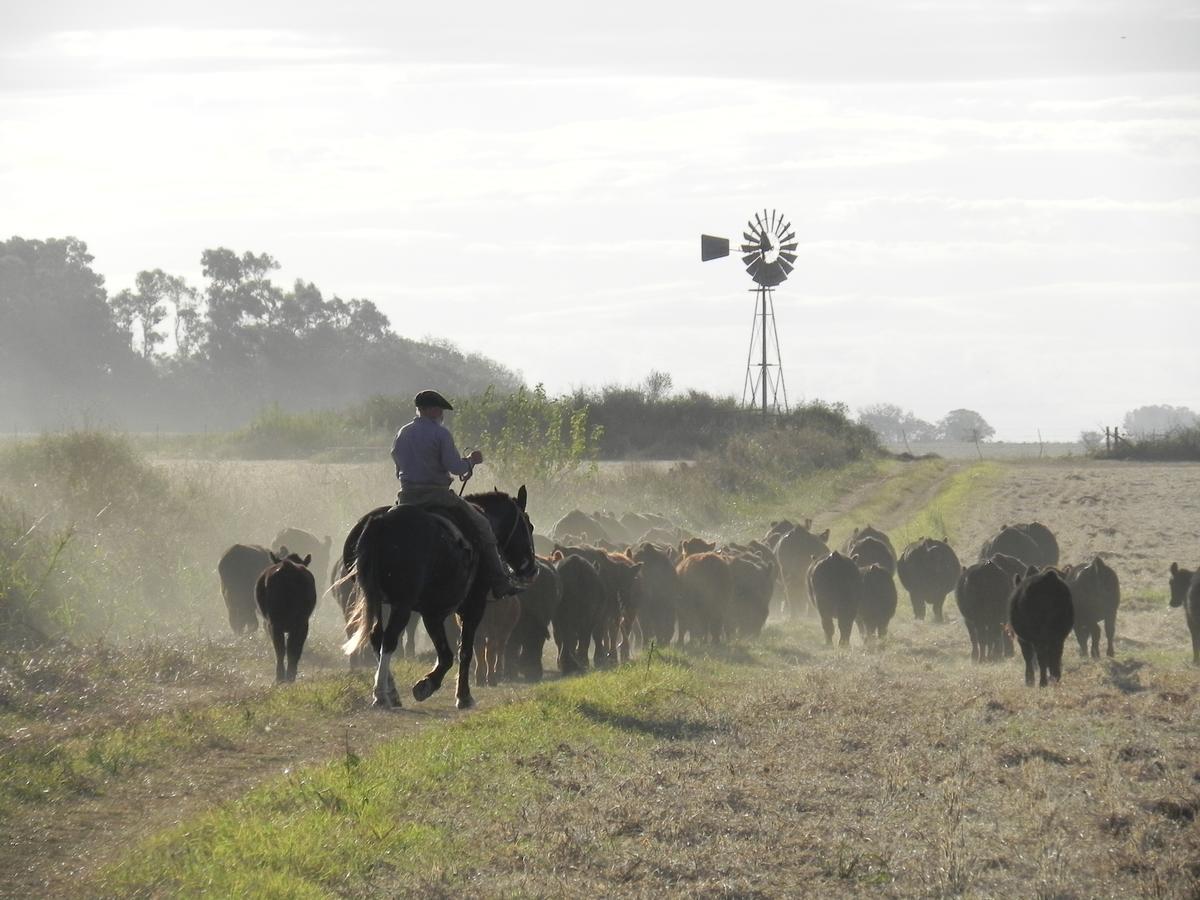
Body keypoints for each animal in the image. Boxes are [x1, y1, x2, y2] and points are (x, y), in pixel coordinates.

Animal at [345, 494, 537, 710]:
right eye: (528, 525)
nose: (532, 568)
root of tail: (381, 522)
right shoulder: (471, 607)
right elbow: (463, 652)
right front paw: (460, 695)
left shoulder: (433, 614)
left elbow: (446, 654)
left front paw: (428, 685)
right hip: (401, 605)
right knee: (389, 639)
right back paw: (380, 695)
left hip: (379, 602)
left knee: (377, 637)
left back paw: (391, 693)